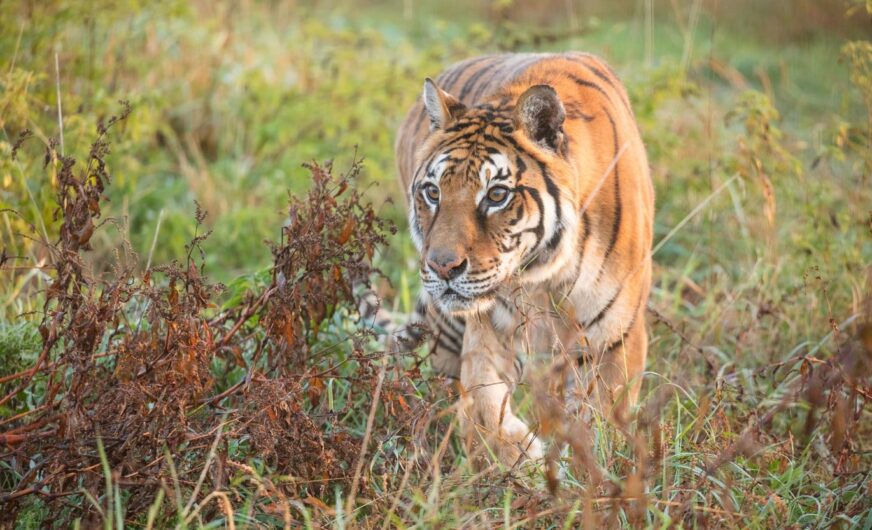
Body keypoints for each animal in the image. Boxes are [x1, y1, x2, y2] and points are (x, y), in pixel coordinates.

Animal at [392, 50, 652, 462]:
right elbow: (485, 411)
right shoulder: (487, 333)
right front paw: (523, 460)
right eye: (433, 192)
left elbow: (601, 426)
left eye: (496, 195)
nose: (442, 267)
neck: (545, 276)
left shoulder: (613, 338)